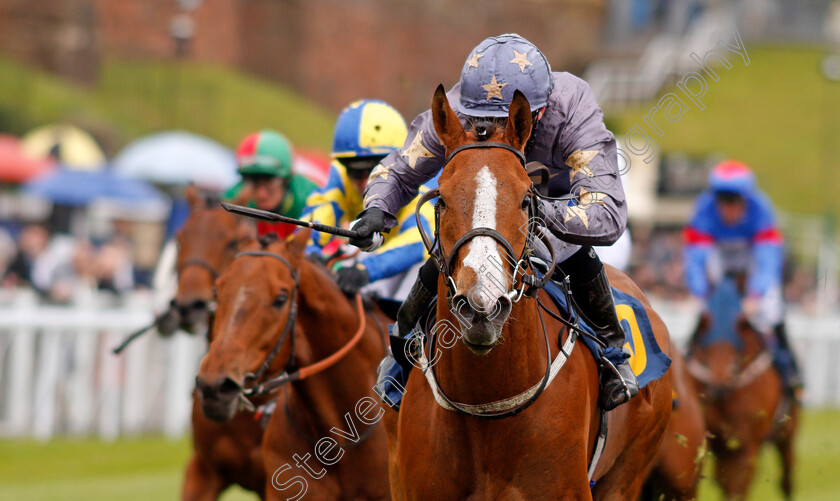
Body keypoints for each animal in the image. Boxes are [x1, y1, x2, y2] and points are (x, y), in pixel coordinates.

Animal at [684, 280, 796, 498]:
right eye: (705, 350)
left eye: (736, 350)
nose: (718, 388)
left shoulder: (746, 443)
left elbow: (736, 487)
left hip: (788, 429)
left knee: (787, 474)